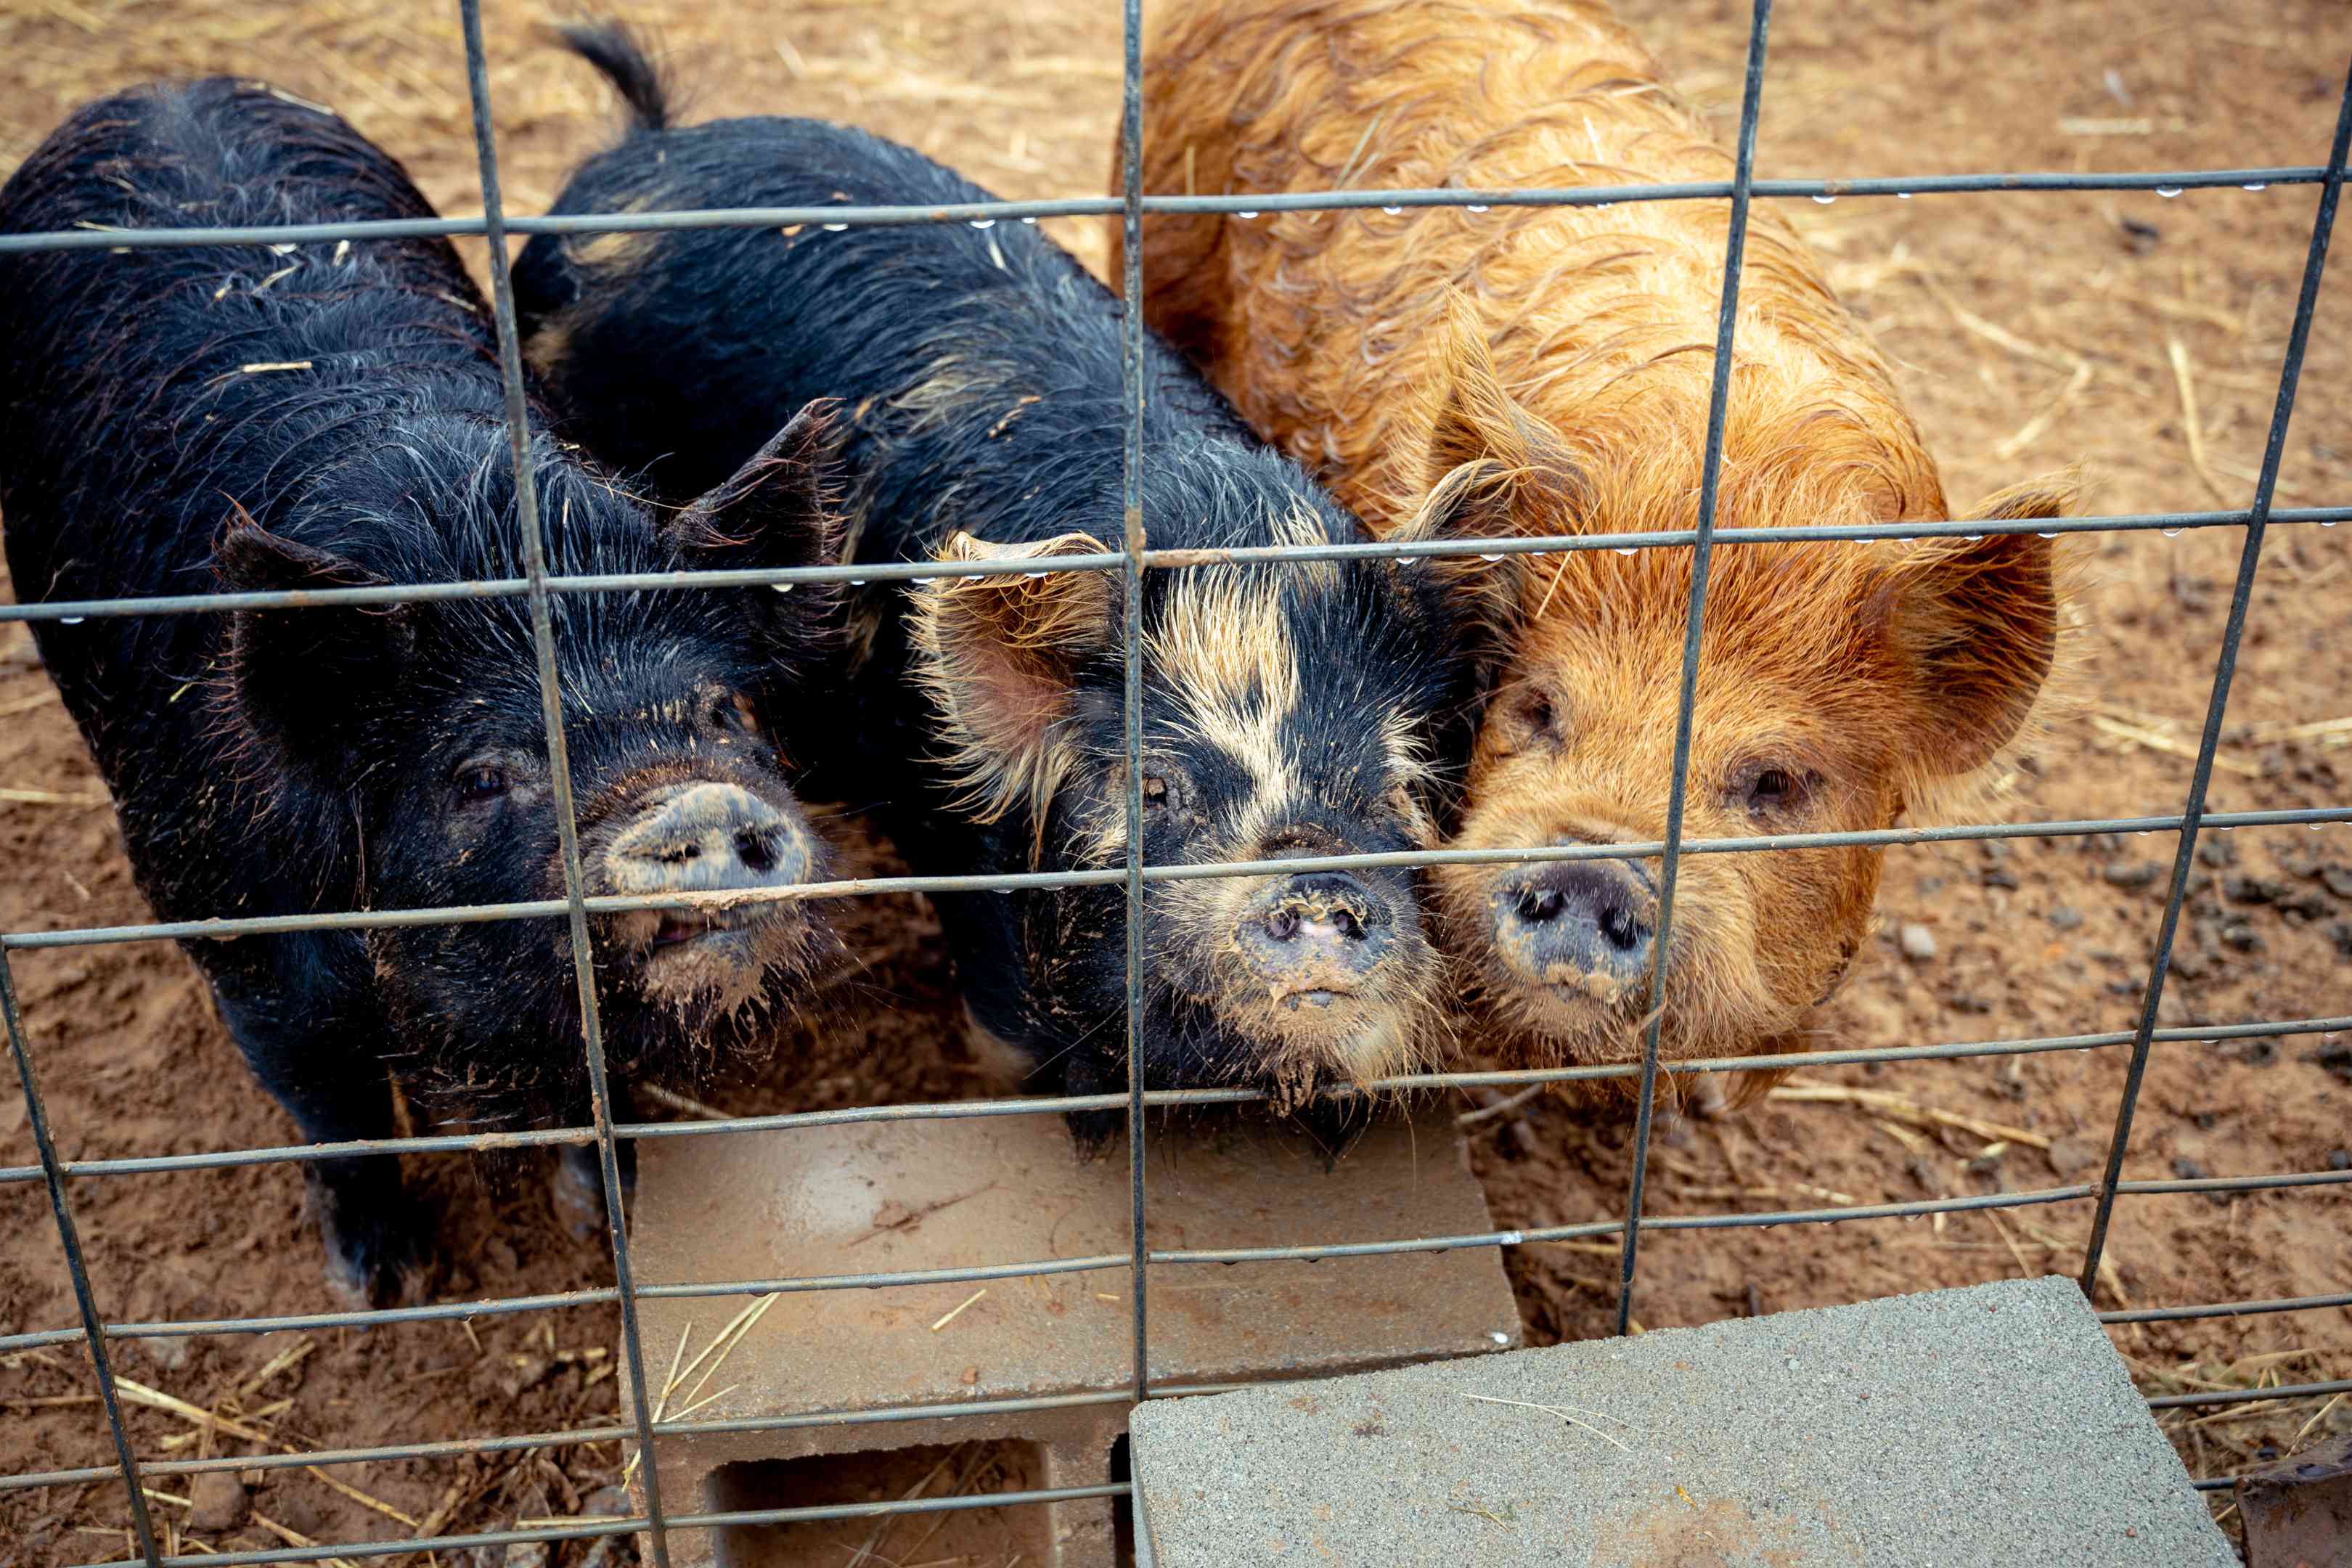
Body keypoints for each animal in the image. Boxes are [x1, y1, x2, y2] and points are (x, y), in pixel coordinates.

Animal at [0, 76, 856, 1297]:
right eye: (482, 773)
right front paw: (380, 1282)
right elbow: (337, 1109)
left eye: (722, 711)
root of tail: (166, 86)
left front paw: (606, 1216)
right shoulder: (237, 936)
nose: (692, 801)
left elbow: (593, 1084)